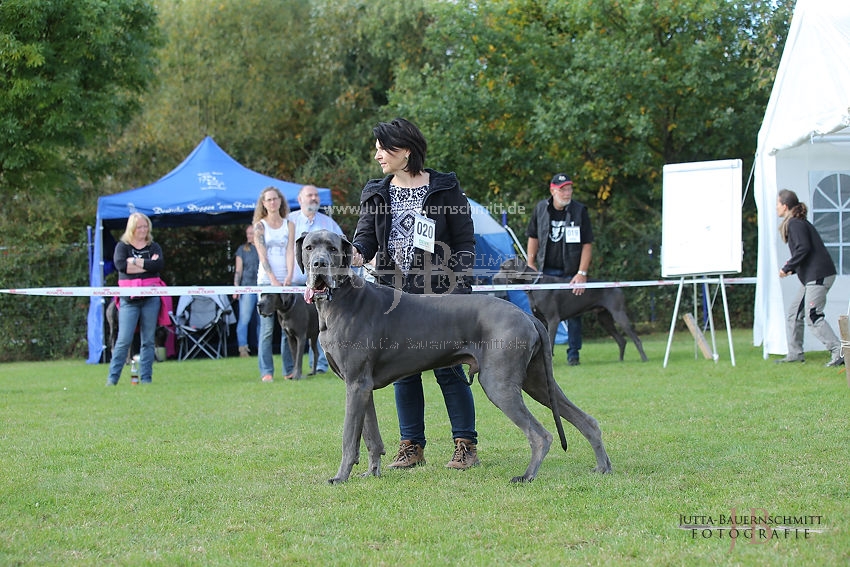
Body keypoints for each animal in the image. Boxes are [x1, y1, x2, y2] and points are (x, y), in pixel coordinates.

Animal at [494, 258, 644, 364]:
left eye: (505, 268)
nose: (494, 279)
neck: (535, 285)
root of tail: (617, 287)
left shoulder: (553, 320)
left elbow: (551, 341)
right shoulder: (542, 320)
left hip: (618, 314)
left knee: (636, 339)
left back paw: (644, 359)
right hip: (604, 319)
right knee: (621, 340)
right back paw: (620, 361)